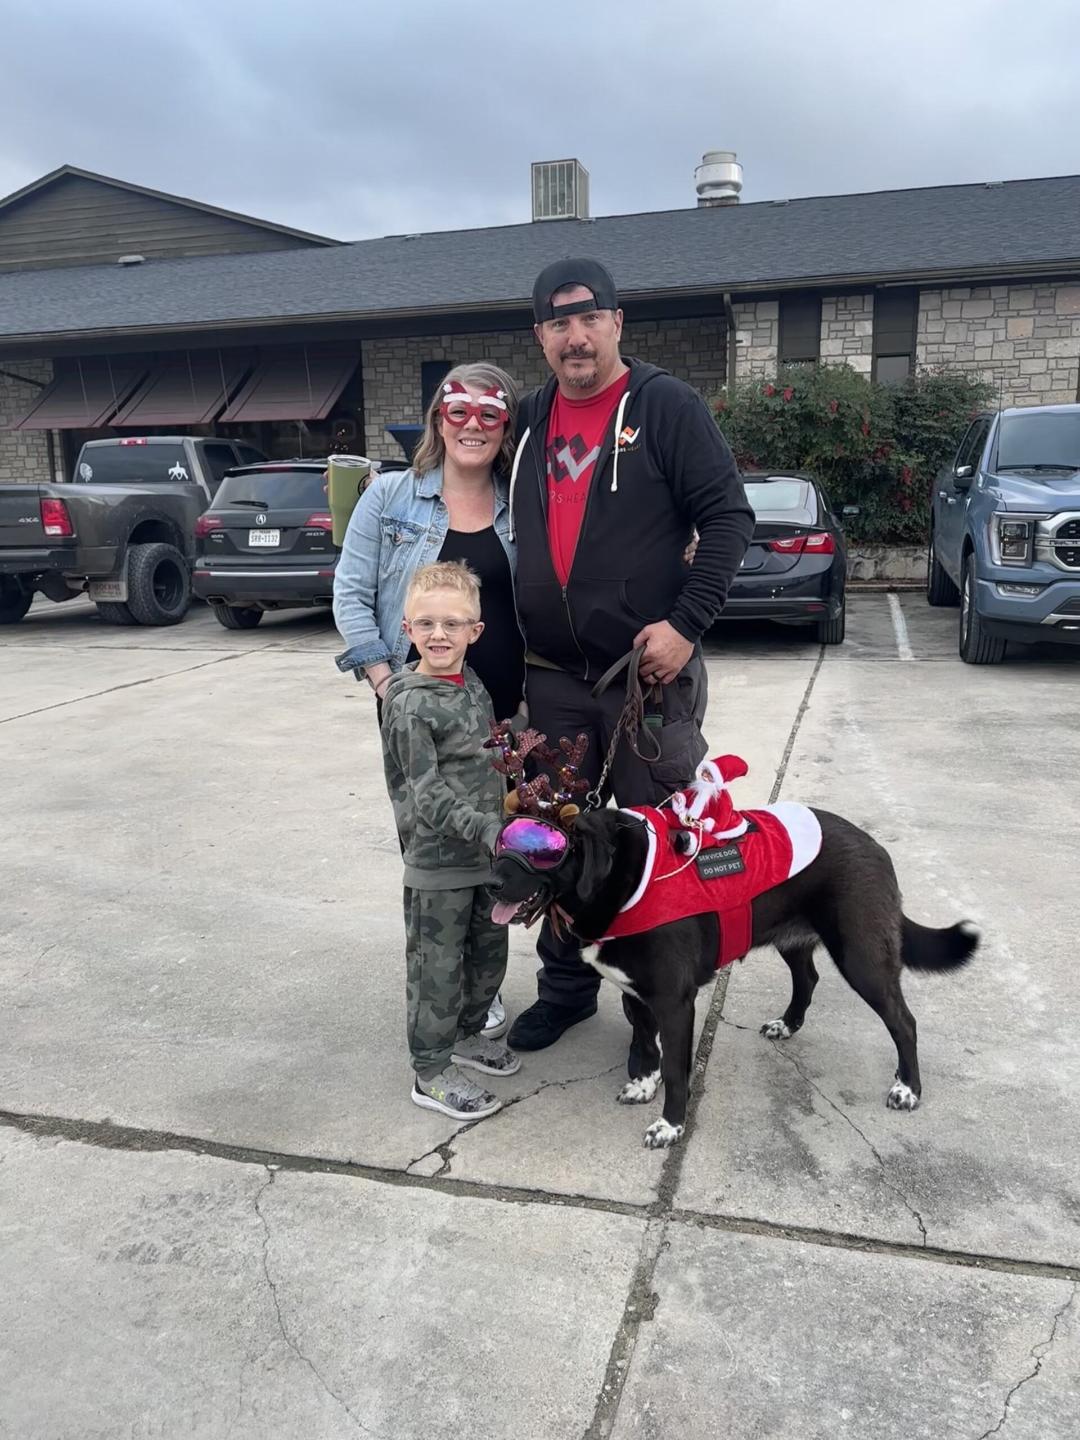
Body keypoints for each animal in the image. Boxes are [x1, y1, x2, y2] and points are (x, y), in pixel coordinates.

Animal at [490, 805, 979, 1148]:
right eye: (502, 842)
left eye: (544, 852)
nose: (490, 882)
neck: (625, 879)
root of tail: (877, 848)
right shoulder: (636, 993)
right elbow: (647, 1046)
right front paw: (644, 1085)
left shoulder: (674, 1001)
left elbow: (676, 1068)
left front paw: (670, 1126)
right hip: (794, 938)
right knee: (808, 978)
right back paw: (789, 1023)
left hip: (862, 957)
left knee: (903, 1022)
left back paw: (908, 1088)